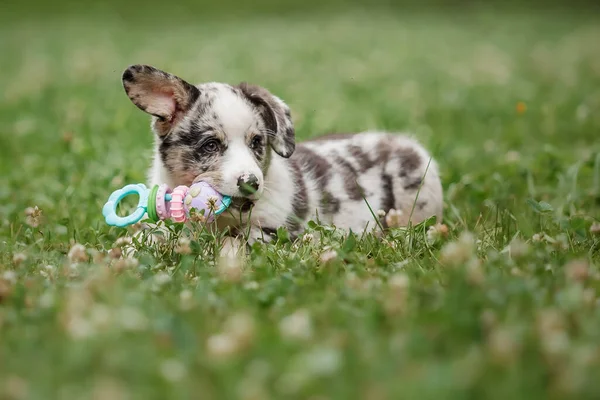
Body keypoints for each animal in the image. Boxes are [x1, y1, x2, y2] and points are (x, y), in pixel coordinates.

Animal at [122, 63, 442, 256]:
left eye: (256, 142)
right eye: (211, 144)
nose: (250, 183)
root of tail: (405, 142)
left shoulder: (270, 232)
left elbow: (232, 244)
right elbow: (144, 240)